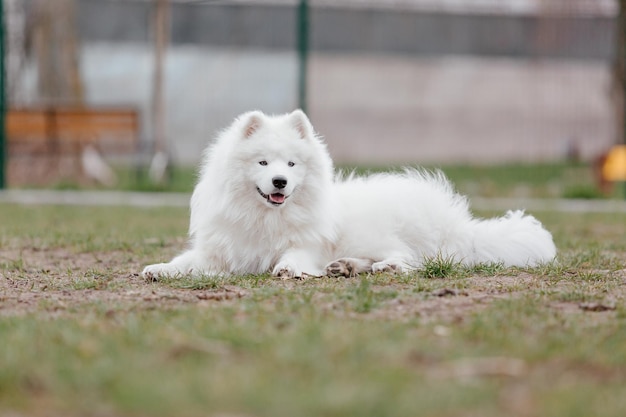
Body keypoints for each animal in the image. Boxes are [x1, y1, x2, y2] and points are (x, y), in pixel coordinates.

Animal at [143, 109, 556, 280]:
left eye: (291, 164)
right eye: (263, 162)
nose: (280, 182)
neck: (266, 217)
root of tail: (455, 221)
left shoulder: (307, 244)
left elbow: (293, 256)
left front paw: (288, 269)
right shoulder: (220, 250)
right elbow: (184, 262)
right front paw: (158, 269)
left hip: (377, 231)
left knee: (414, 259)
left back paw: (385, 267)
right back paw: (347, 267)